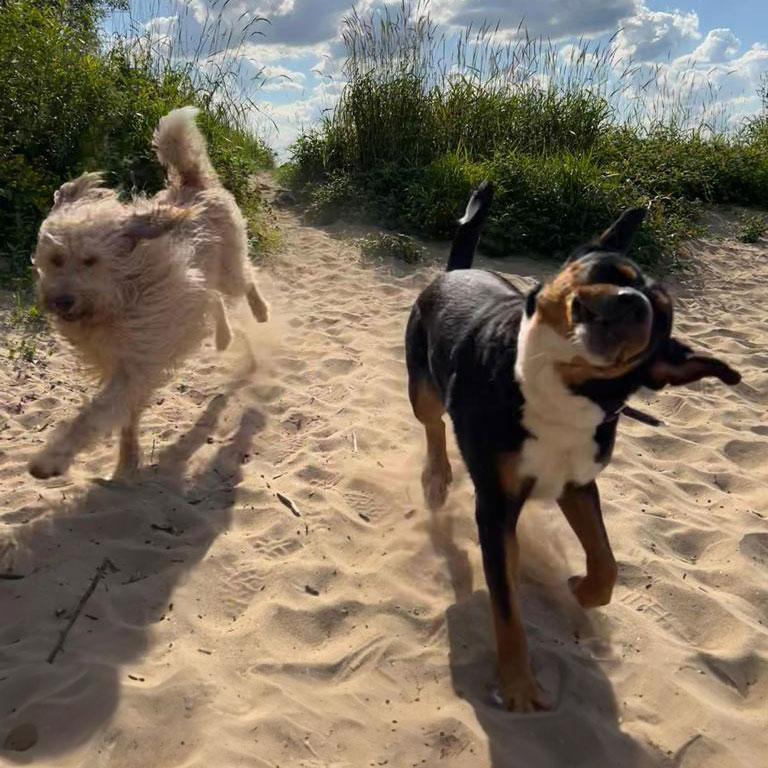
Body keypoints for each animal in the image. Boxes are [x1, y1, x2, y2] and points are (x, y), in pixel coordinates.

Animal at [29, 108, 270, 480]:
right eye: (56, 259)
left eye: (90, 261)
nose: (62, 301)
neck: (121, 295)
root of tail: (192, 182)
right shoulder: (132, 364)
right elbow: (127, 417)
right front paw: (127, 461)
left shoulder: (135, 366)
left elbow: (93, 415)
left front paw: (52, 458)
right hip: (200, 281)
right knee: (213, 299)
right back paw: (224, 337)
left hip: (229, 267)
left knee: (246, 280)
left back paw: (260, 311)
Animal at [404, 183, 740, 712]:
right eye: (610, 272)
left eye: (661, 315)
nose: (633, 303)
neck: (558, 389)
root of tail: (456, 271)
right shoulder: (496, 505)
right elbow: (507, 611)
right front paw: (519, 689)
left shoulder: (577, 483)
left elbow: (606, 562)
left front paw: (579, 591)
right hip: (422, 386)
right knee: (433, 423)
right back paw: (437, 476)